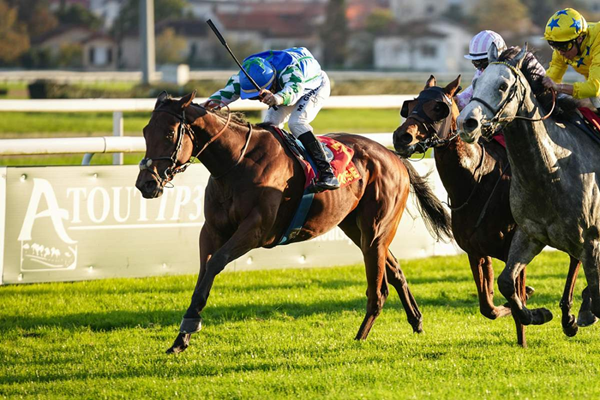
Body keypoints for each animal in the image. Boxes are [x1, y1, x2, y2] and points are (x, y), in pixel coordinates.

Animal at [135, 91, 452, 354]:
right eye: (145, 131)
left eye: (169, 133)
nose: (146, 184)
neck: (236, 163)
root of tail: (394, 156)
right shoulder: (211, 230)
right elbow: (204, 273)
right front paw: (182, 336)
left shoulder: (256, 230)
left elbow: (215, 263)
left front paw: (189, 328)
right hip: (355, 227)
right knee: (395, 269)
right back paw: (416, 321)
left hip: (376, 229)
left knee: (379, 288)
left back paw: (360, 337)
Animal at [393, 75, 584, 346]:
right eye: (410, 105)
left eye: (437, 108)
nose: (402, 137)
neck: (477, 179)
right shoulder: (477, 251)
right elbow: (488, 307)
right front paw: (526, 299)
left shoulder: (514, 247)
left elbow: (516, 301)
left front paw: (531, 322)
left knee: (576, 257)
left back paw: (569, 317)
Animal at [457, 45, 599, 341]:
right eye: (476, 82)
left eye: (502, 85)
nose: (466, 123)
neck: (551, 171)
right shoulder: (530, 234)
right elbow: (506, 282)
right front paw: (537, 314)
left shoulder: (591, 241)